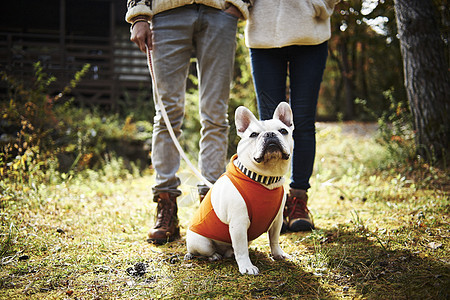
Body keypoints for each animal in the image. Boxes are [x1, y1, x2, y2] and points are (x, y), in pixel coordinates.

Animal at [185, 102, 294, 274]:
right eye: (254, 134)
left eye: (283, 131)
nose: (270, 134)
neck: (265, 179)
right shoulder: (239, 223)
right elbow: (241, 249)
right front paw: (247, 267)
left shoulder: (277, 220)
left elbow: (274, 239)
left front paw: (278, 255)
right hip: (201, 242)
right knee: (205, 251)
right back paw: (214, 256)